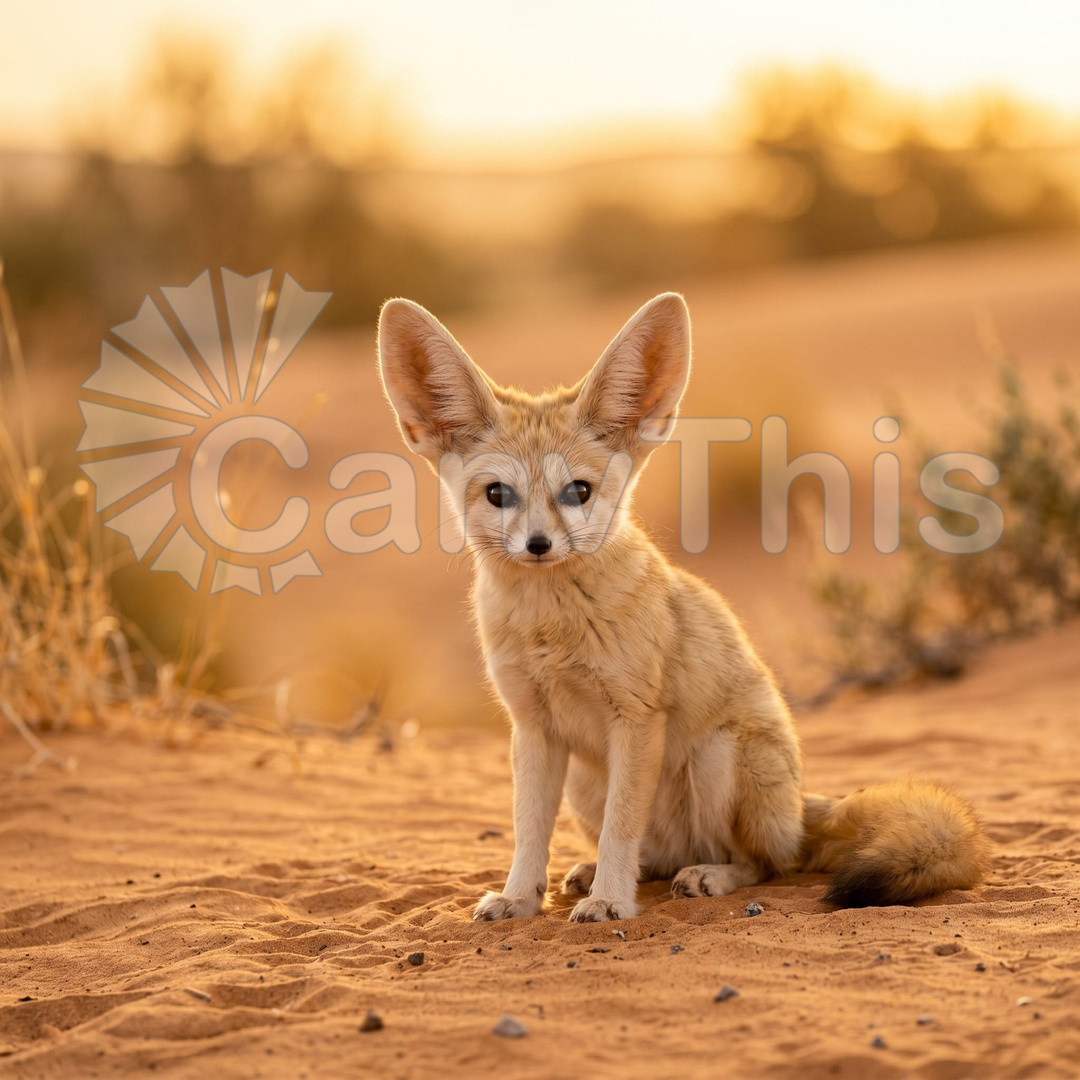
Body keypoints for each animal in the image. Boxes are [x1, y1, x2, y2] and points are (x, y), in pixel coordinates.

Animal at [377, 291, 988, 923]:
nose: (538, 545)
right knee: (657, 856)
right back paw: (605, 871)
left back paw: (707, 877)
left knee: (765, 863)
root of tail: (799, 809)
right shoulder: (533, 725)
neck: (551, 629)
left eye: (578, 492)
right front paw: (521, 898)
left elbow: (621, 825)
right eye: (498, 494)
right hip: (585, 783)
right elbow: (529, 830)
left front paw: (610, 903)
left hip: (717, 756)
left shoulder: (637, 718)